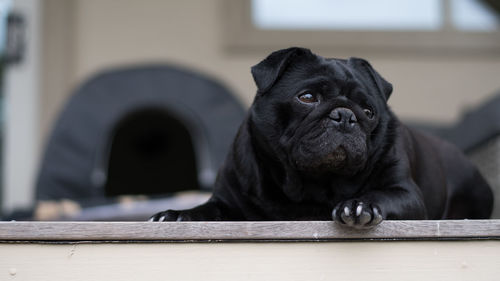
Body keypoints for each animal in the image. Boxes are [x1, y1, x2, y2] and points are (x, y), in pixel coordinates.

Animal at [150, 47, 494, 226]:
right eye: (307, 98)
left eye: (368, 111)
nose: (345, 115)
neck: (312, 186)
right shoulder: (227, 201)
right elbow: (209, 209)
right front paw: (178, 214)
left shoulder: (405, 194)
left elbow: (379, 194)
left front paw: (358, 206)